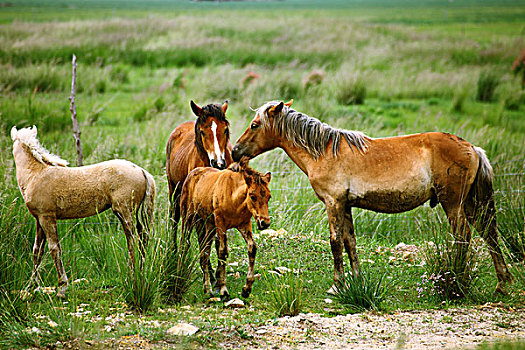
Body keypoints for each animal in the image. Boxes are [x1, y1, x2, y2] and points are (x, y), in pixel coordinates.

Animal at [11, 126, 155, 298]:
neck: (35, 174)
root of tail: (141, 170)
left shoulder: (47, 217)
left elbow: (54, 249)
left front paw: (61, 288)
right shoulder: (38, 219)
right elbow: (37, 251)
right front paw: (30, 286)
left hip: (124, 211)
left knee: (132, 240)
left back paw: (131, 275)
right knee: (142, 236)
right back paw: (141, 271)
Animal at [179, 160, 270, 300]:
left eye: (269, 197)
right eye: (252, 196)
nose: (264, 223)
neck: (234, 198)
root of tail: (192, 174)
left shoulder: (244, 224)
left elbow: (252, 247)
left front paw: (246, 289)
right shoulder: (220, 223)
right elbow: (222, 251)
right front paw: (223, 290)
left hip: (208, 226)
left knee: (204, 252)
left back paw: (207, 288)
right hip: (188, 218)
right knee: (185, 243)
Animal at [233, 100, 512, 294]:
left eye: (255, 125)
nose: (235, 151)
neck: (324, 151)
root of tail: (472, 148)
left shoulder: (333, 204)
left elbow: (335, 242)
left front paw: (337, 285)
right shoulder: (345, 206)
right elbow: (350, 243)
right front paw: (356, 281)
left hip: (453, 203)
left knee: (463, 236)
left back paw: (457, 277)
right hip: (471, 203)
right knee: (488, 233)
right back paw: (502, 283)